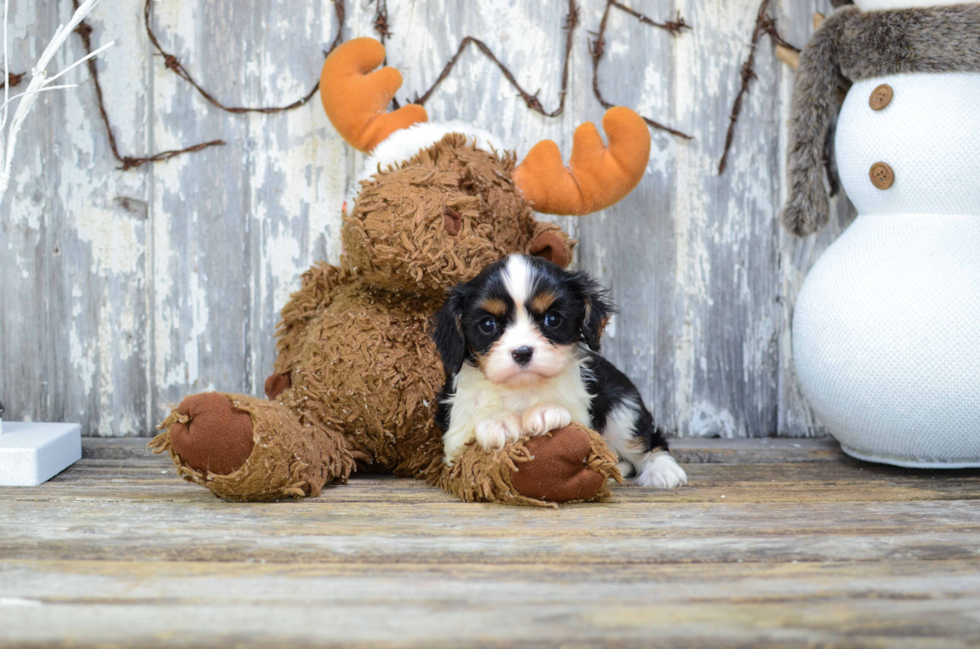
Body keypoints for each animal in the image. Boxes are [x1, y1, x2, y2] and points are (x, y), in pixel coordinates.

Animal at [436, 253, 688, 486]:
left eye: (552, 319)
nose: (522, 352)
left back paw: (663, 470)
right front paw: (497, 421)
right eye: (488, 324)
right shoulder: (453, 434)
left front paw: (546, 410)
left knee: (647, 441)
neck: (522, 388)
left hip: (623, 410)